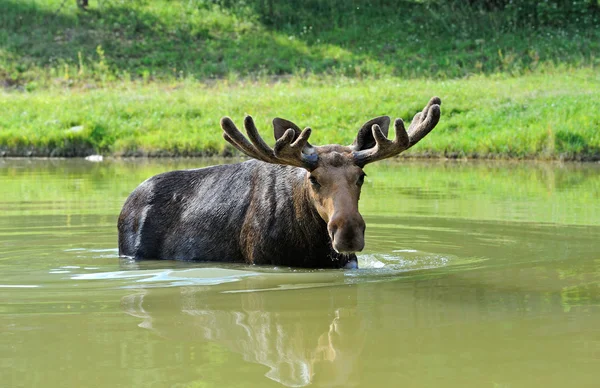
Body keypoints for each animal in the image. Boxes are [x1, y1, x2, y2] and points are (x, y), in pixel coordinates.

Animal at [118, 96, 440, 270]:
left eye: (361, 176)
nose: (348, 232)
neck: (312, 243)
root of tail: (127, 202)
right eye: (313, 178)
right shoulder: (262, 259)